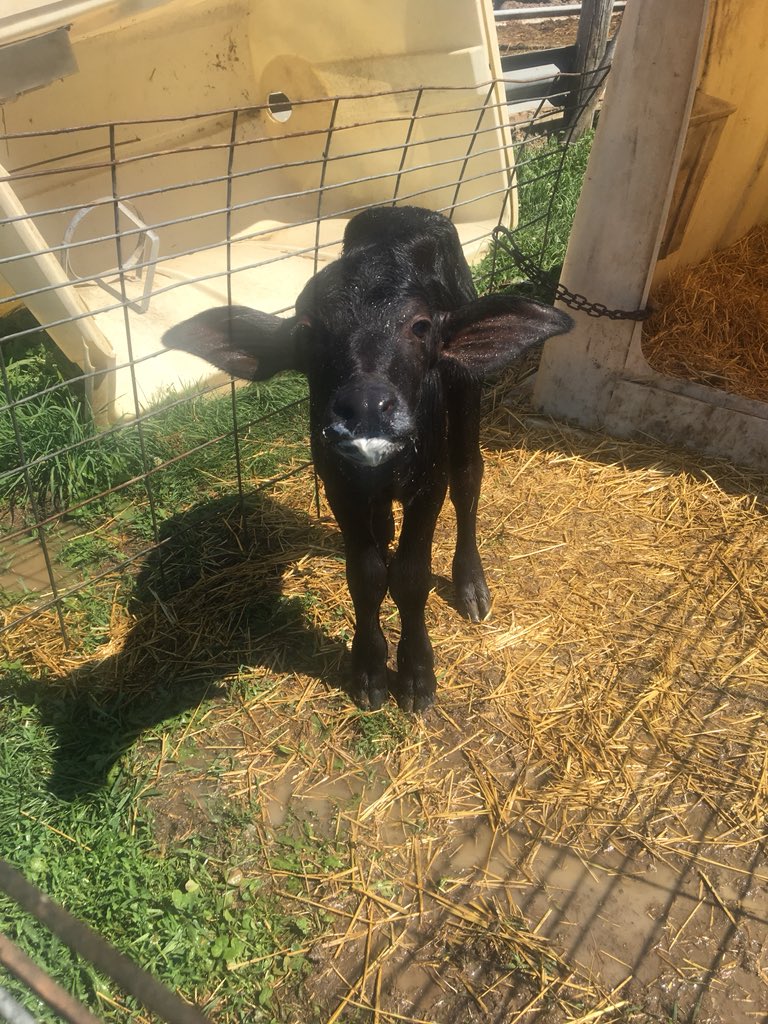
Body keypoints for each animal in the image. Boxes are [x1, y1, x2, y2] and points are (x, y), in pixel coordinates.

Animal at [164, 206, 572, 712]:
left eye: (420, 326)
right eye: (307, 330)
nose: (366, 408)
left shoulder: (427, 486)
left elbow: (411, 576)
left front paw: (416, 676)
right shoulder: (340, 486)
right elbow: (366, 575)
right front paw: (369, 671)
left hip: (466, 392)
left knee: (469, 475)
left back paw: (471, 584)